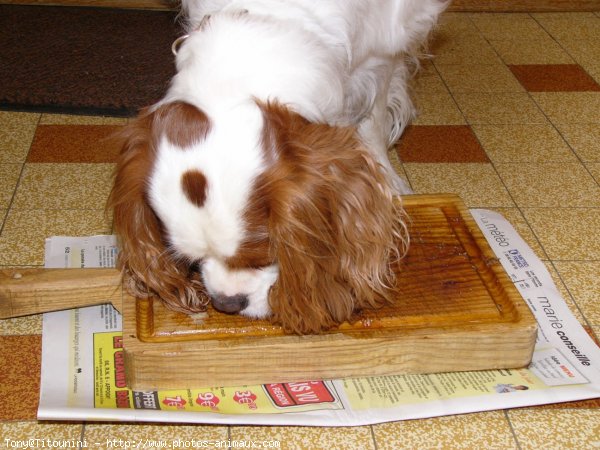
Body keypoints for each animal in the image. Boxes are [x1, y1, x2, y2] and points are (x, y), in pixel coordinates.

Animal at [108, 0, 448, 334]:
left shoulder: (386, 44)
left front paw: (387, 174)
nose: (227, 304)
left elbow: (374, 119)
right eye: (190, 259)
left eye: (262, 256)